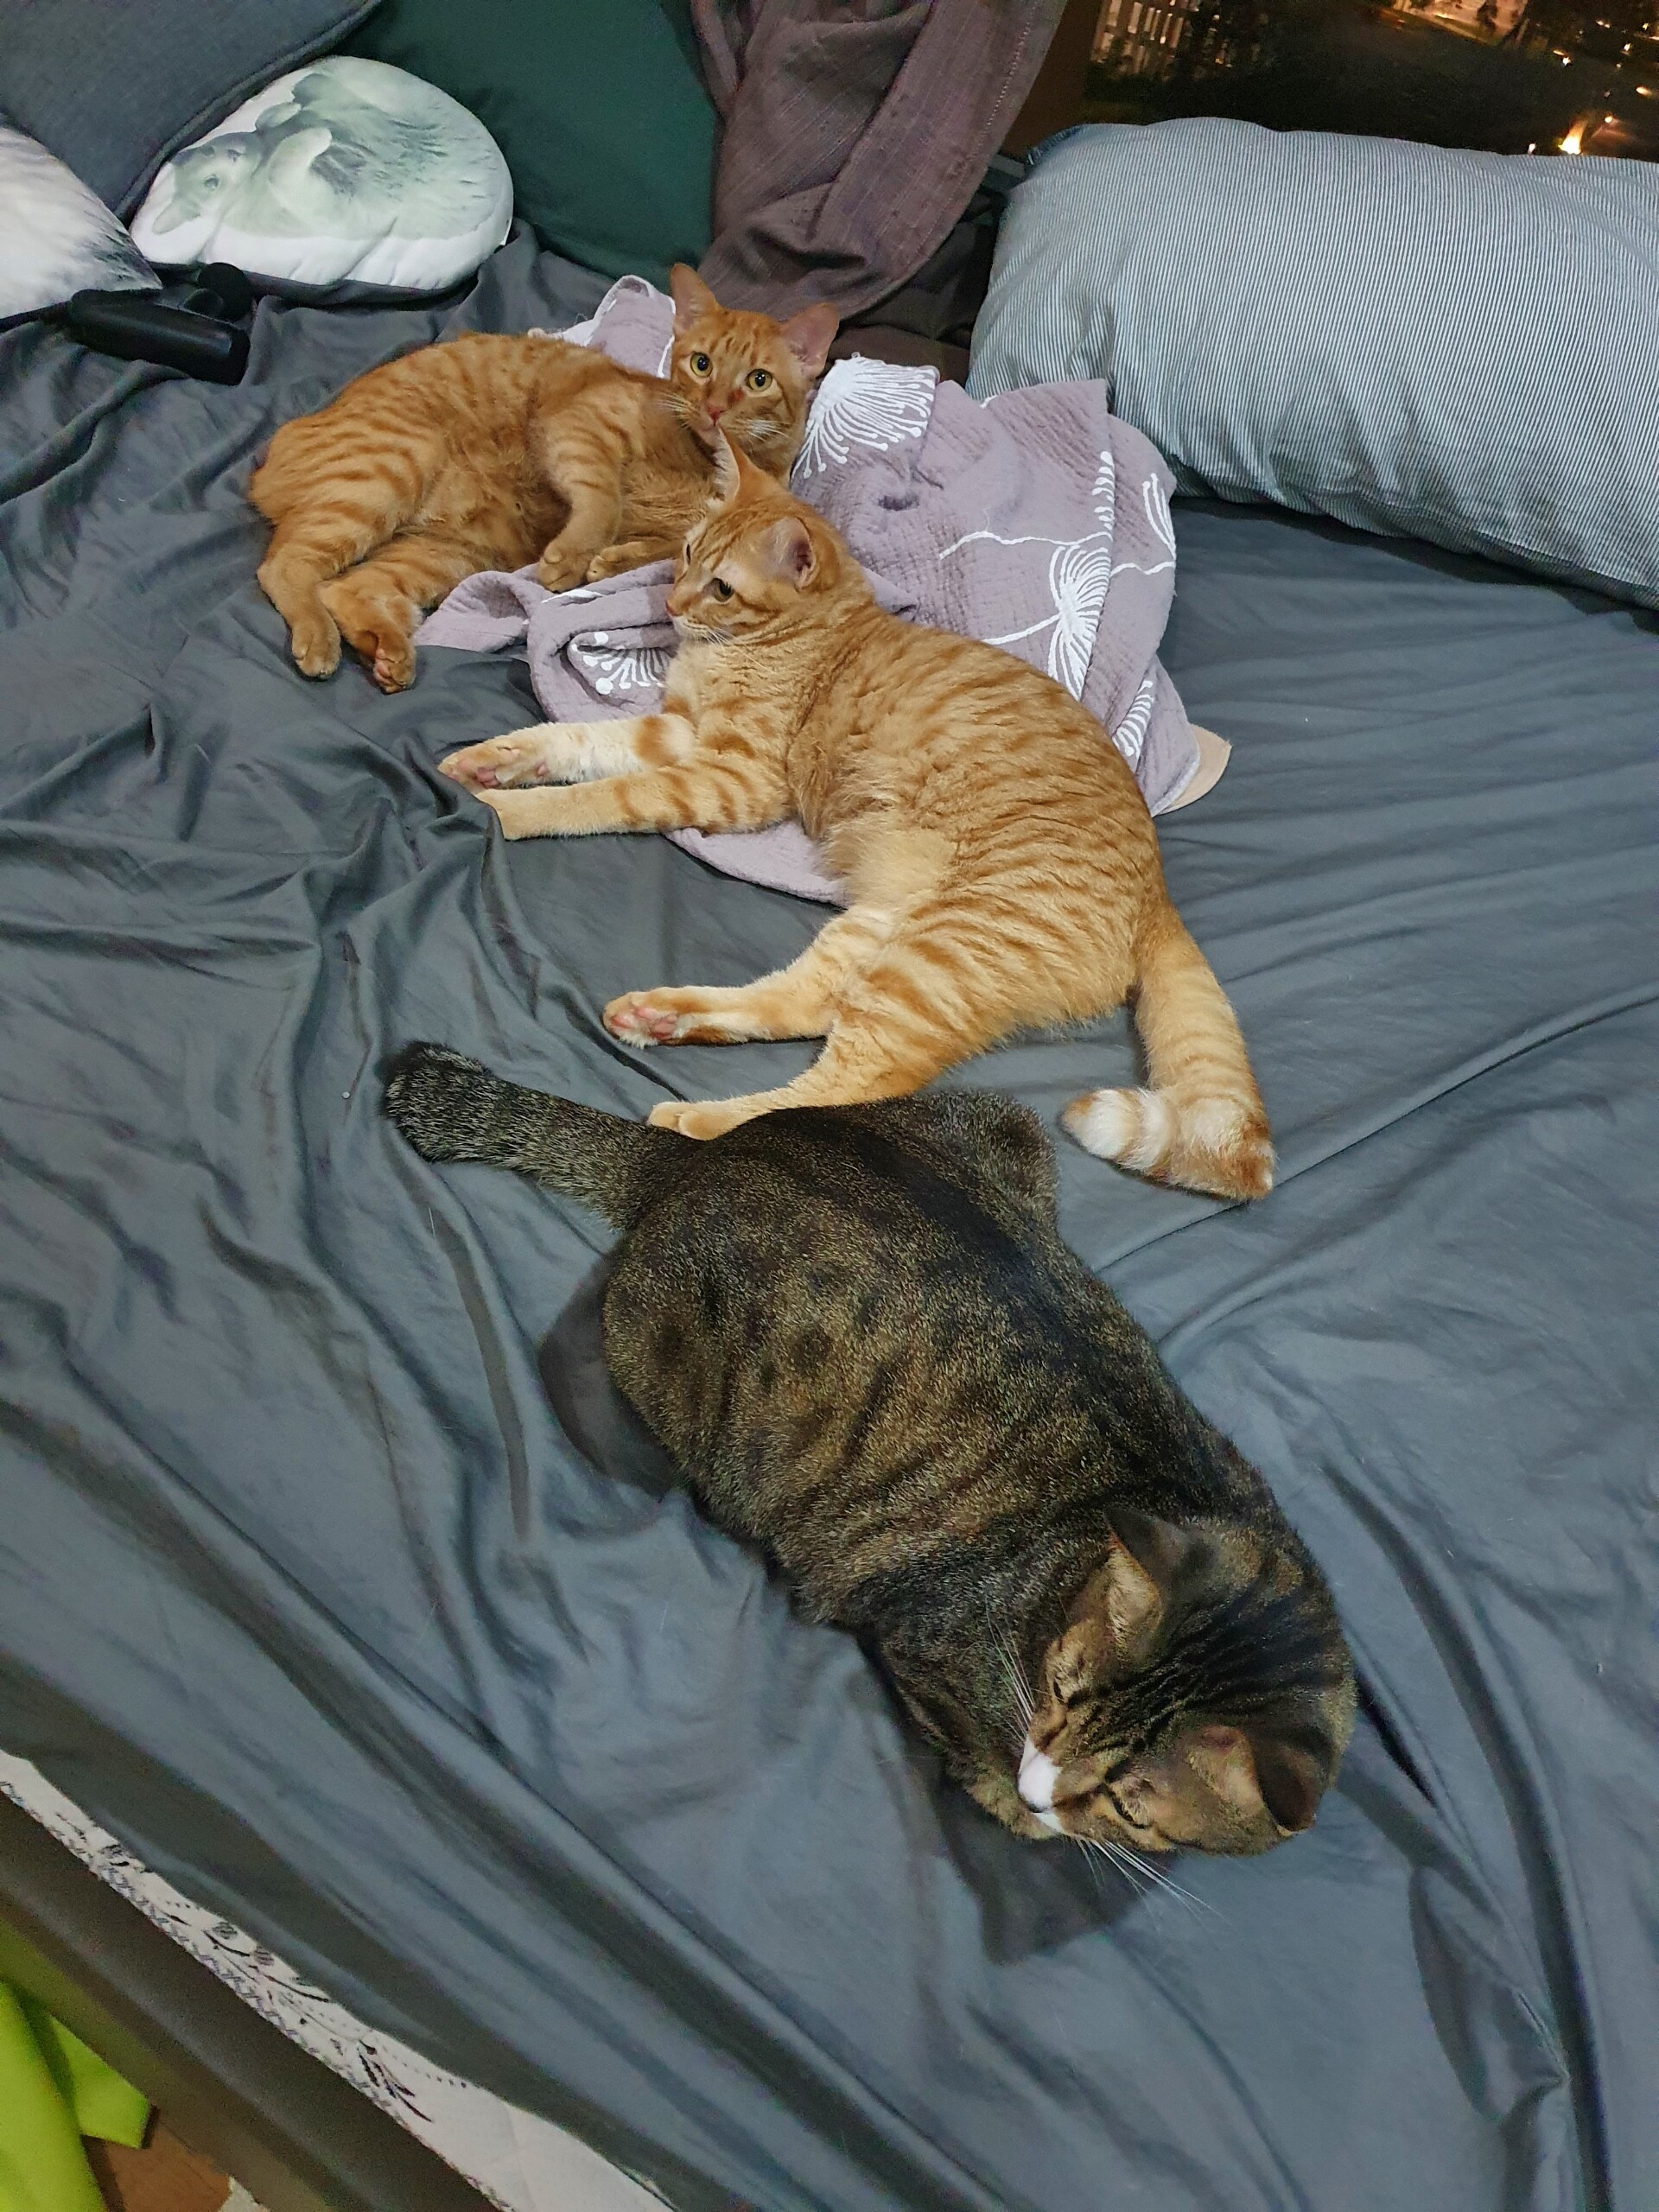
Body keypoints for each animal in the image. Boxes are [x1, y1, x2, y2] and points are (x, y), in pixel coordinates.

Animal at [249, 267, 837, 694]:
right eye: (701, 364)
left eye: (757, 381)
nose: (713, 408)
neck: (706, 460)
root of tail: (270, 457)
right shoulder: (580, 426)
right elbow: (603, 501)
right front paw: (576, 557)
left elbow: (667, 548)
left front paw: (611, 561)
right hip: (396, 464)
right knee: (285, 566)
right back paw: (319, 639)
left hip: (451, 551)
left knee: (347, 586)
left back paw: (386, 651)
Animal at [384, 1043, 1356, 1855]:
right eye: (1060, 1684)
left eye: (1128, 1799)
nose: (1041, 1784)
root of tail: (713, 1156)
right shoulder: (925, 1644)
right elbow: (994, 1779)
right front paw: (1017, 1802)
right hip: (660, 1359)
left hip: (1003, 1121)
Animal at [438, 439, 1273, 1200]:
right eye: (685, 554)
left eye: (722, 588)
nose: (670, 607)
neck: (787, 640)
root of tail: (1157, 891)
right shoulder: (675, 734)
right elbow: (576, 741)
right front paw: (492, 760)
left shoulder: (732, 779)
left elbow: (602, 796)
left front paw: (509, 808)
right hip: (883, 926)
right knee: (803, 1005)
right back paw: (664, 1018)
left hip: (934, 957)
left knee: (848, 1086)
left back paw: (699, 1120)